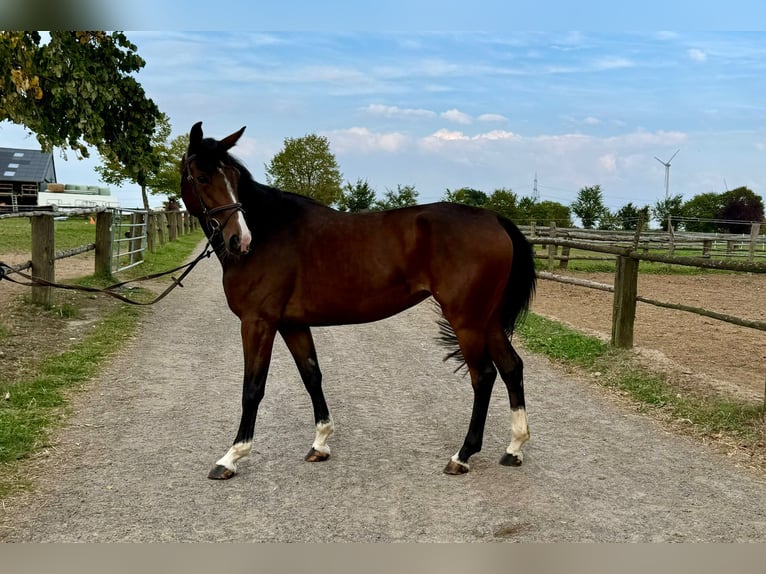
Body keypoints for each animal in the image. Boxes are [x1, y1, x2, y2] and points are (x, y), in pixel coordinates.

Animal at [182, 122, 536, 482]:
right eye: (201, 177)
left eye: (234, 177)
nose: (240, 240)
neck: (271, 232)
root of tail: (494, 219)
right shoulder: (292, 324)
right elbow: (311, 375)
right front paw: (320, 443)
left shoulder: (258, 322)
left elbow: (252, 388)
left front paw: (231, 457)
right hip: (487, 319)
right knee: (511, 368)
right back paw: (513, 448)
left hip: (467, 320)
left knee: (484, 376)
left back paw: (462, 455)